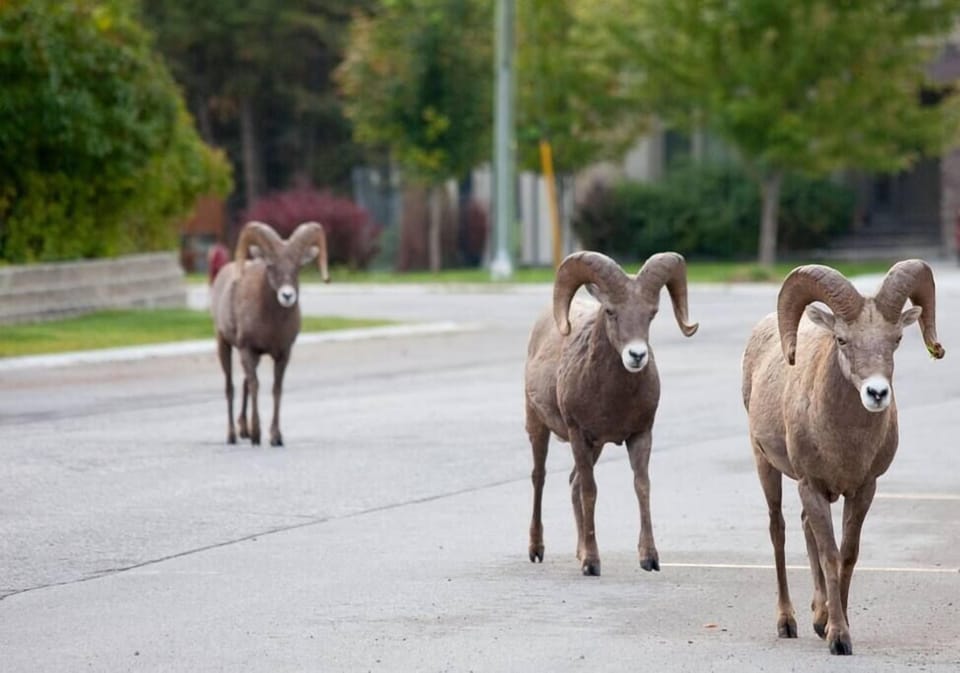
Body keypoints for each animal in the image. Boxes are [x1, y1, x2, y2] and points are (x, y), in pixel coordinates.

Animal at [210, 220, 329, 446]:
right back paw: (232, 435)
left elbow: (276, 389)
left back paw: (244, 430)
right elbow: (256, 386)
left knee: (244, 383)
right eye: (271, 266)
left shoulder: (283, 354)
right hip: (224, 345)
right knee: (230, 387)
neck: (272, 324)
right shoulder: (247, 350)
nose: (287, 296)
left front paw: (276, 437)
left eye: (298, 267)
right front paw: (257, 435)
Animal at [524, 251, 699, 576]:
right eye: (610, 312)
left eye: (652, 313)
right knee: (539, 478)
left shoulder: (640, 435)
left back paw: (579, 551)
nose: (637, 355)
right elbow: (590, 491)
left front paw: (649, 558)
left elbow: (642, 486)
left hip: (597, 447)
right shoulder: (579, 435)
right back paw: (537, 550)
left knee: (572, 482)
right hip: (538, 426)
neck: (611, 399)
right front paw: (592, 564)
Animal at [741, 260, 944, 655]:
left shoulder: (862, 489)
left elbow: (847, 554)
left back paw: (818, 616)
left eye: (896, 339)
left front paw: (836, 625)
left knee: (806, 528)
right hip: (766, 466)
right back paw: (787, 623)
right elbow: (830, 554)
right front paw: (838, 638)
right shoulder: (811, 485)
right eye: (842, 340)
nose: (877, 393)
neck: (844, 442)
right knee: (779, 530)